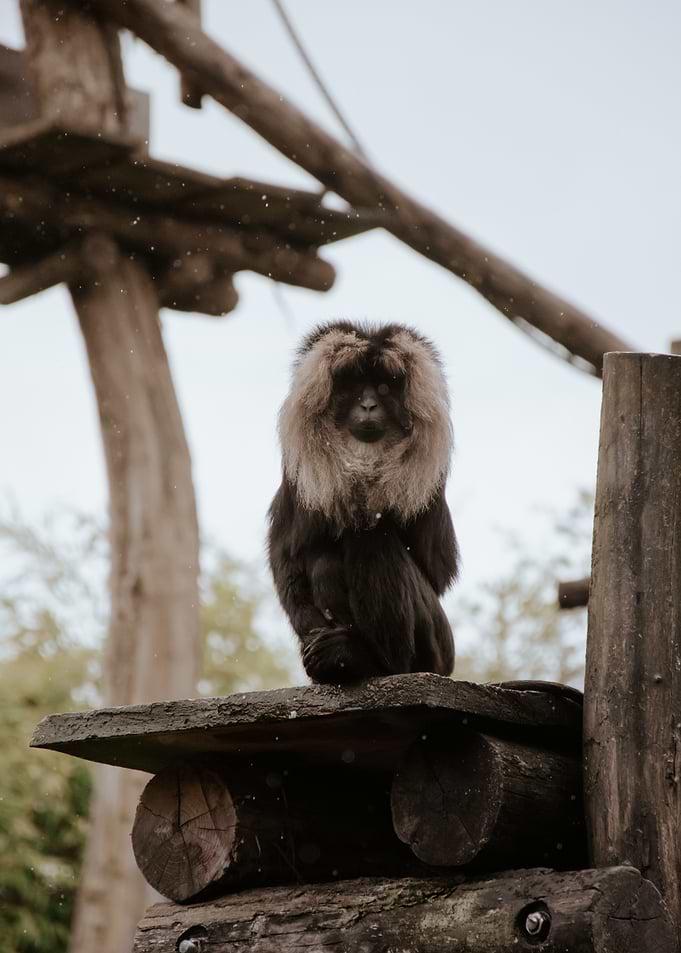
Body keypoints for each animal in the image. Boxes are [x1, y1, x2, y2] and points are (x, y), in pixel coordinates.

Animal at [267, 321, 459, 684]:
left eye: (383, 389)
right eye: (355, 387)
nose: (369, 405)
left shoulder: (432, 476)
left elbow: (439, 569)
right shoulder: (297, 476)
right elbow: (288, 552)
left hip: (439, 646)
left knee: (370, 535)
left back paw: (373, 663)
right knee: (325, 562)